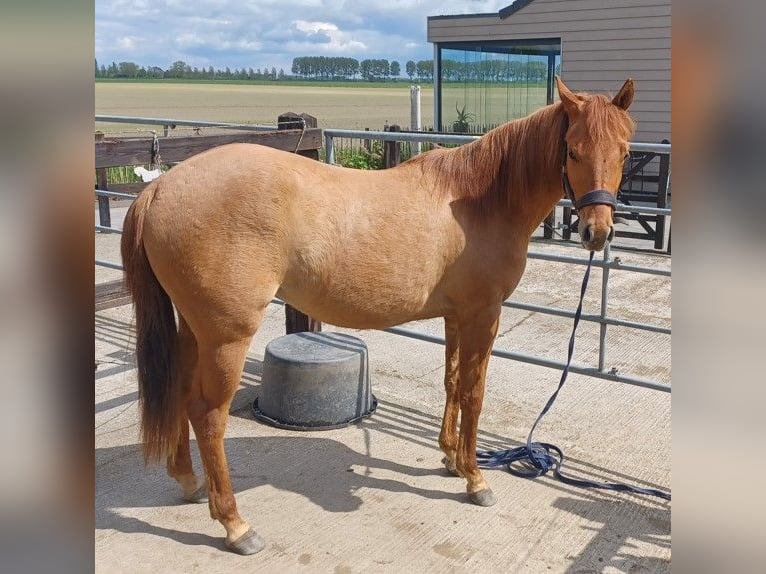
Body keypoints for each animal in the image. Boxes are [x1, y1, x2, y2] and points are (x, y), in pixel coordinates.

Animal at [120, 76, 635, 555]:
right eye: (573, 151)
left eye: (625, 152)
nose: (597, 232)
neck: (479, 199)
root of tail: (160, 188)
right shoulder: (483, 316)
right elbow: (474, 393)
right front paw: (475, 478)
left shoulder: (456, 317)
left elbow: (451, 382)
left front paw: (450, 459)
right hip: (226, 337)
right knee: (208, 416)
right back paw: (235, 525)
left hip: (194, 330)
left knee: (181, 395)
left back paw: (191, 484)